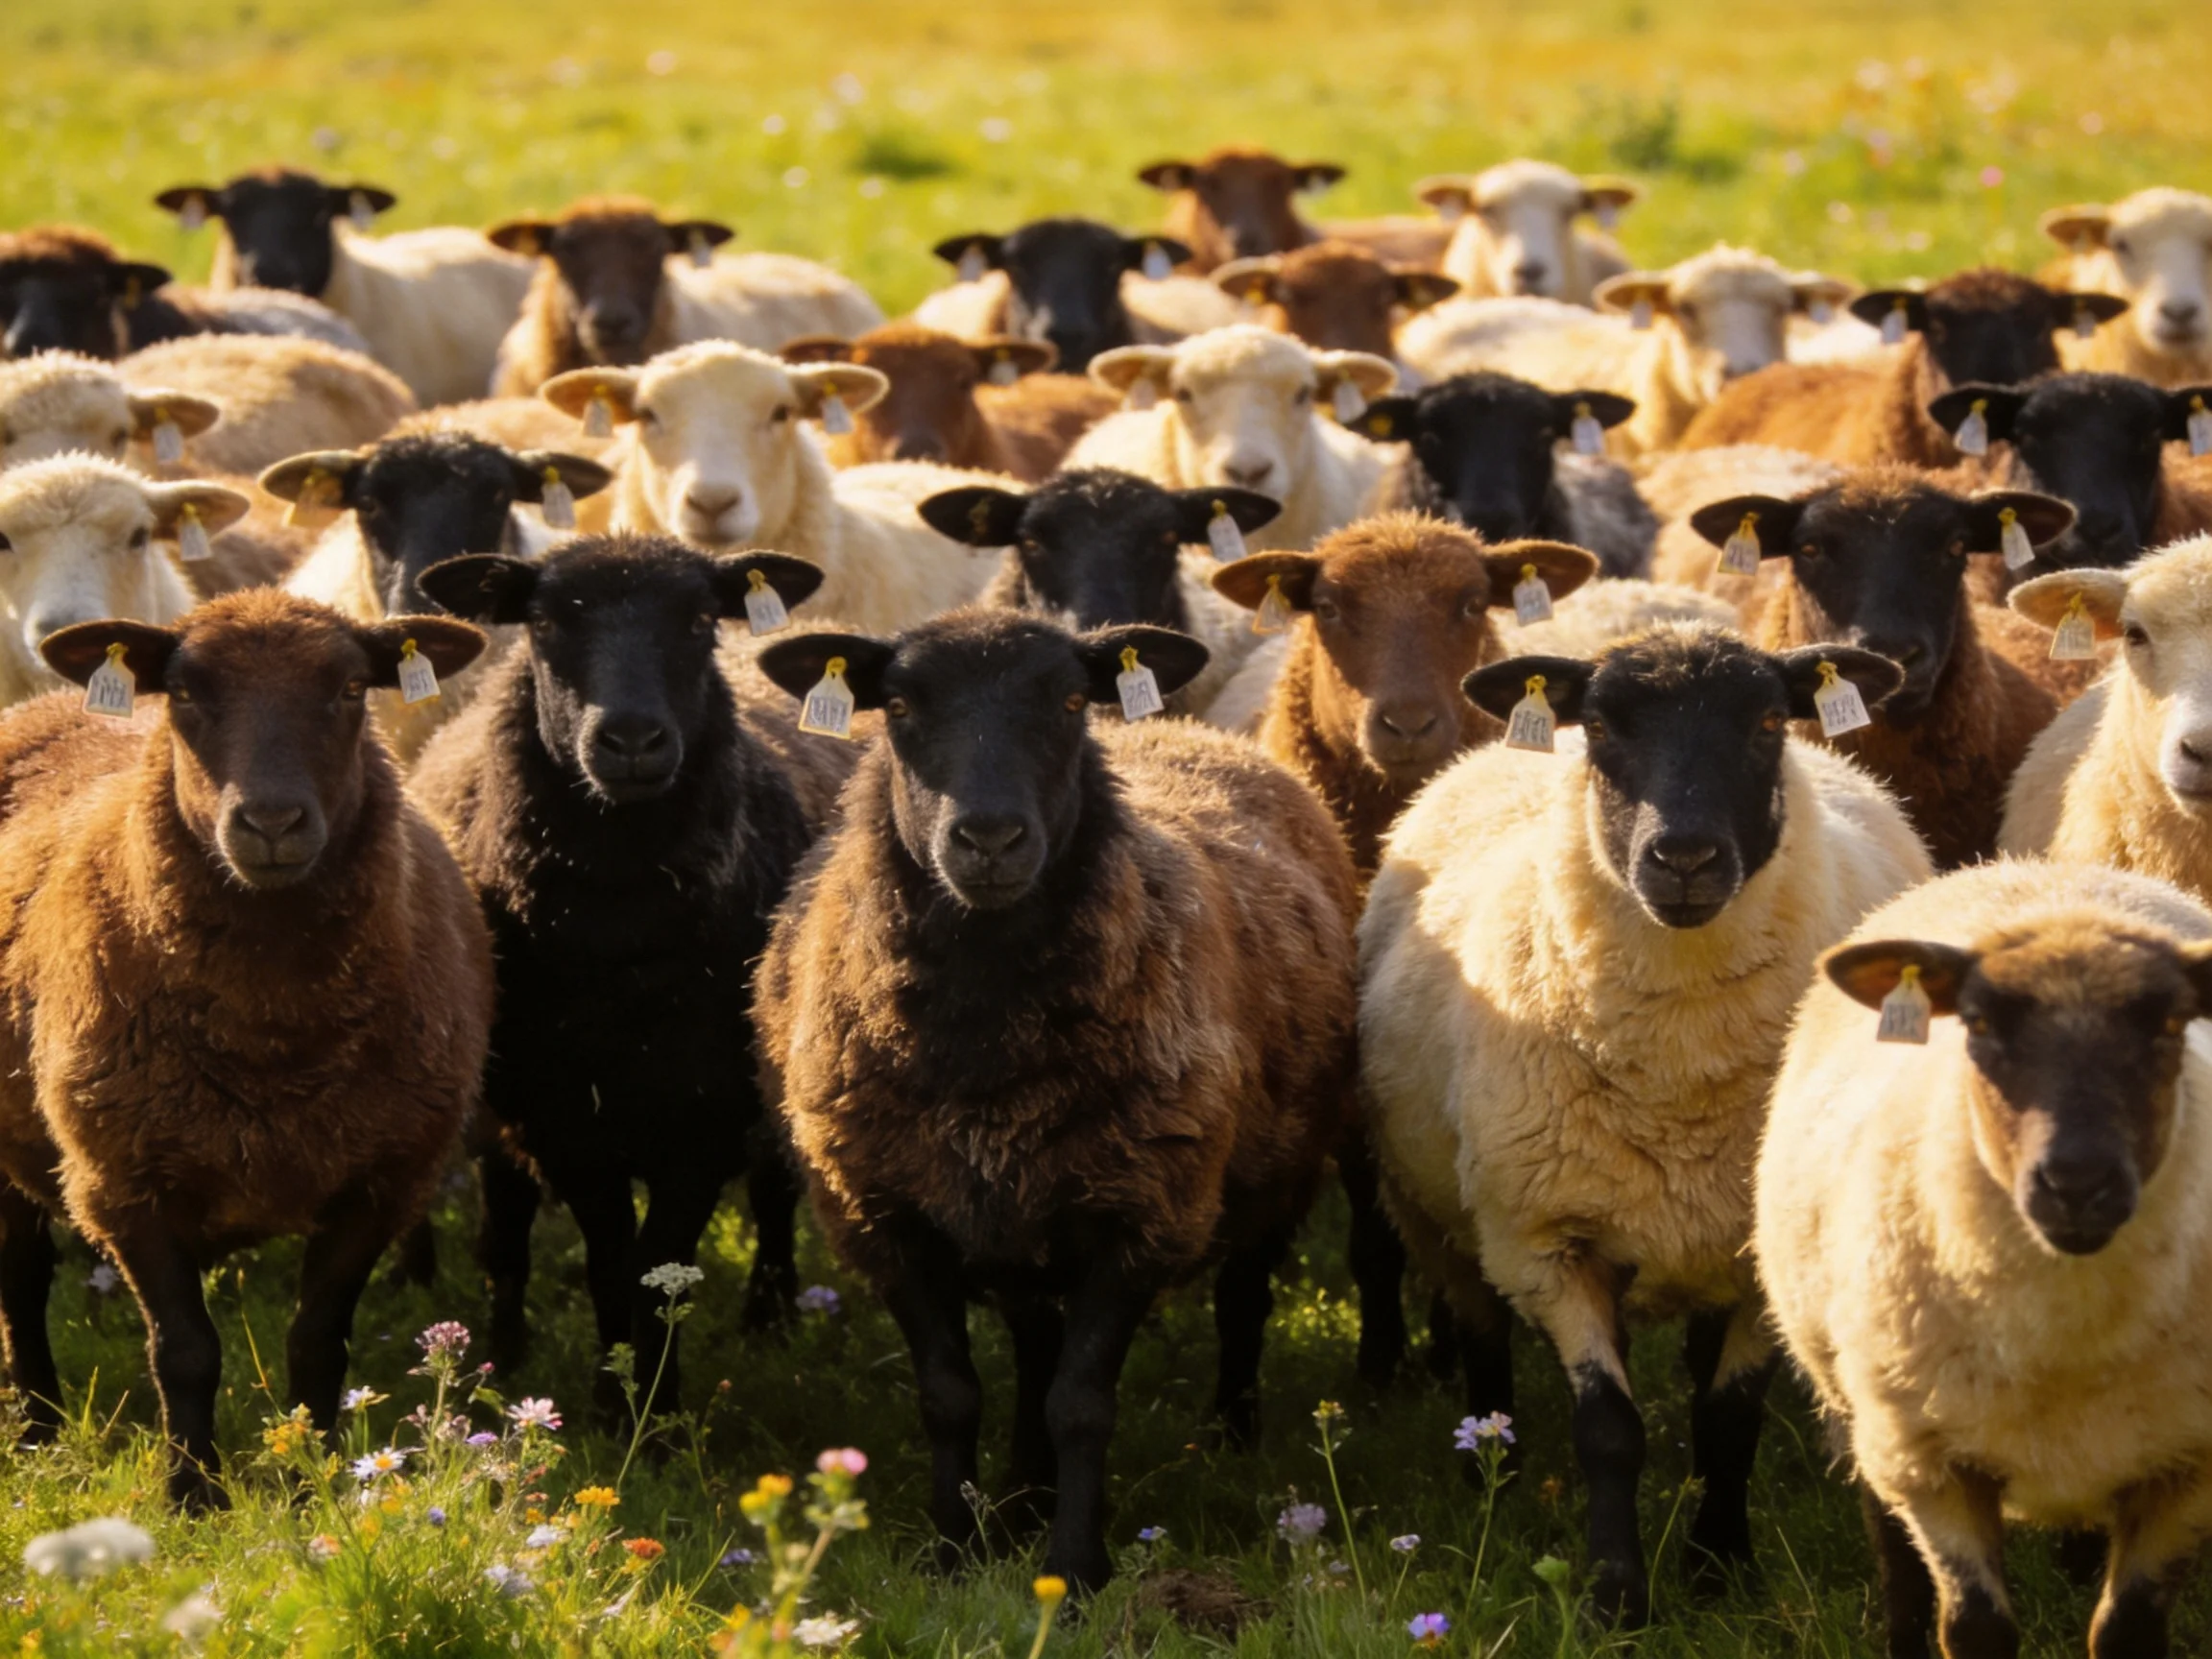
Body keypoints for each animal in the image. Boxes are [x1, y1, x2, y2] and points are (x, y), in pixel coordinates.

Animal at [0, 590, 490, 1505]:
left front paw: (321, 1482)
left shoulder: (383, 1180)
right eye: (187, 691)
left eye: (350, 689)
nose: (270, 821)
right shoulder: (123, 1181)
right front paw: (192, 1495)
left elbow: (318, 1343)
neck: (272, 1040)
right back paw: (39, 1430)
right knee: (21, 1275)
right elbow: (185, 1352)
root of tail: (44, 704)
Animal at [408, 536, 840, 1399]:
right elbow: (611, 1264)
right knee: (506, 1215)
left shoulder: (703, 1118)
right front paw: (615, 1401)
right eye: (543, 623)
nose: (633, 740)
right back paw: (502, 1349)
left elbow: (657, 1266)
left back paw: (770, 1319)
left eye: (702, 619)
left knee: (775, 1190)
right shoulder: (563, 1118)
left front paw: (657, 1405)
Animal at [750, 609, 1358, 1590]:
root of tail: (1192, 731)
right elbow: (950, 1395)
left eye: (1072, 701)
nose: (990, 838)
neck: (984, 1045)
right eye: (900, 704)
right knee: (1035, 1344)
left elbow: (1081, 1403)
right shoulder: (884, 1214)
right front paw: (954, 1552)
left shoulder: (1142, 1214)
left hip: (1273, 1172)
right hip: (1025, 1209)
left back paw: (1232, 1437)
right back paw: (1023, 1493)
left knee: (1241, 1304)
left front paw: (1074, 1572)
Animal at [1361, 625, 1926, 1625]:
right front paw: (1614, 1597)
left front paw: (1720, 1566)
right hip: (1437, 1217)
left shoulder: (1759, 1253)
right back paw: (1493, 1483)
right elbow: (1609, 1431)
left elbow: (1729, 1419)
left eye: (1769, 721)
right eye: (1598, 726)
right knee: (1481, 1336)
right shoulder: (1547, 1242)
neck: (1679, 1070)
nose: (1687, 857)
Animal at [1754, 860, 2212, 1659]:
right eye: (1979, 1024)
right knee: (1890, 1540)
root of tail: (2033, 867)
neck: (2065, 1341)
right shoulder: (1934, 1462)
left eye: (2168, 1025)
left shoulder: (2184, 1468)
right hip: (1866, 1405)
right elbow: (1974, 1628)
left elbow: (2126, 1631)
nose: (2076, 1184)